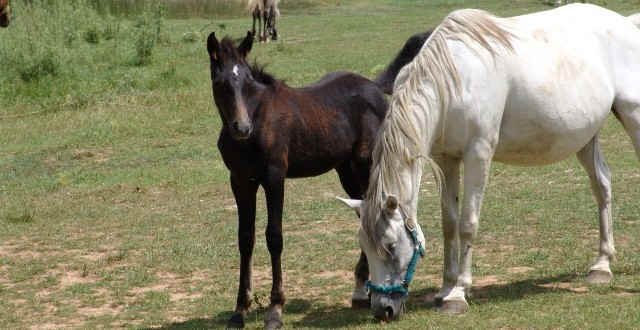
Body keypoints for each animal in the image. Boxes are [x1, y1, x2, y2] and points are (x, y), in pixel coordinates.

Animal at [208, 29, 432, 328]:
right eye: (220, 82)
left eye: (246, 80)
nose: (242, 128)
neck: (257, 124)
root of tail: (373, 85)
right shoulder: (240, 181)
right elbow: (245, 239)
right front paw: (239, 311)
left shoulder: (274, 177)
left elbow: (274, 237)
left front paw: (275, 310)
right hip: (346, 170)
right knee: (363, 214)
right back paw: (361, 290)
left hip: (366, 166)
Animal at [340, 3, 640, 320]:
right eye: (364, 246)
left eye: (390, 245)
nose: (382, 309)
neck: (453, 81)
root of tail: (627, 24)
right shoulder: (446, 160)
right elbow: (449, 223)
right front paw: (445, 289)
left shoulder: (478, 154)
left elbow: (467, 223)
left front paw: (458, 294)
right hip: (585, 139)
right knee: (602, 185)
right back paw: (602, 266)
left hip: (632, 117)